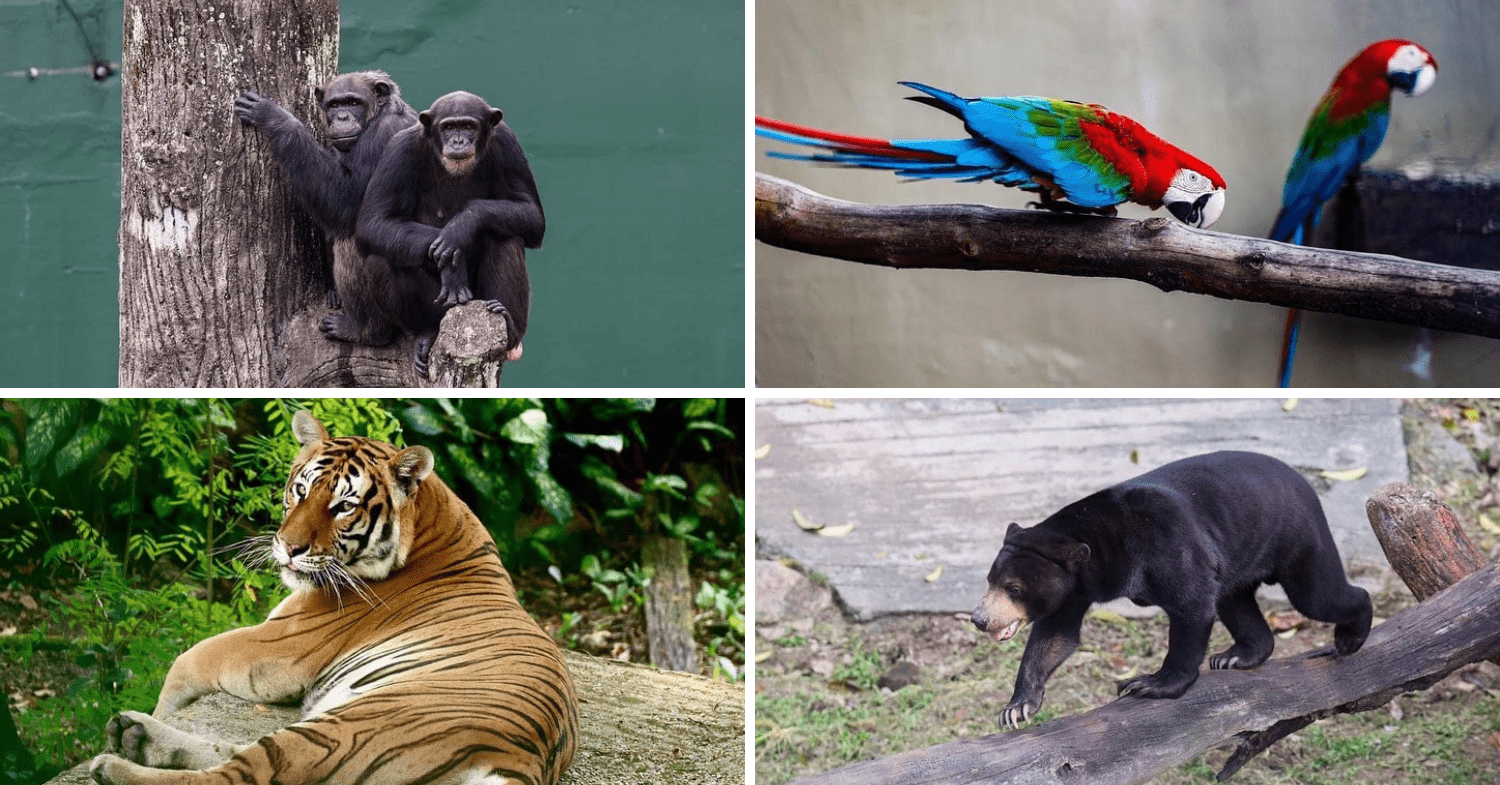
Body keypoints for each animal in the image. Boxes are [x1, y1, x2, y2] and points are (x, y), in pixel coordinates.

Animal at [89, 411, 579, 785]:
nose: (289, 548)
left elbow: (185, 662)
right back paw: (135, 734)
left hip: (345, 728)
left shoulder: (275, 645)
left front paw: (160, 708)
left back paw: (115, 764)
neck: (432, 523)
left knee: (239, 774)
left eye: (344, 506)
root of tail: (521, 761)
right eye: (301, 490)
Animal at [234, 68, 423, 337]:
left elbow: (345, 202)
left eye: (353, 103)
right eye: (335, 105)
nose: (342, 116)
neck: (376, 116)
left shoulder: (384, 136)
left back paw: (366, 331)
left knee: (352, 239)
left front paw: (275, 117)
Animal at [354, 88, 543, 378]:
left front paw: (460, 228)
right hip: (441, 309)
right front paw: (454, 265)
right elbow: (374, 221)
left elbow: (531, 213)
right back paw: (426, 334)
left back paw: (510, 326)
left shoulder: (508, 144)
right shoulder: (398, 151)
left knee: (506, 236)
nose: (458, 140)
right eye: (448, 127)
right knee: (378, 260)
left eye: (468, 126)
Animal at [972, 447, 1374, 732]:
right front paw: (1016, 708)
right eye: (990, 581)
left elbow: (1191, 606)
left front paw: (1147, 684)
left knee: (1318, 595)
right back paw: (1237, 656)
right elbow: (1055, 637)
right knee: (1235, 602)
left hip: (1295, 536)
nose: (979, 618)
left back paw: (1349, 638)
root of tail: (1304, 481)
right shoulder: (1074, 589)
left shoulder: (1167, 544)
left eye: (1013, 587)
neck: (1102, 548)